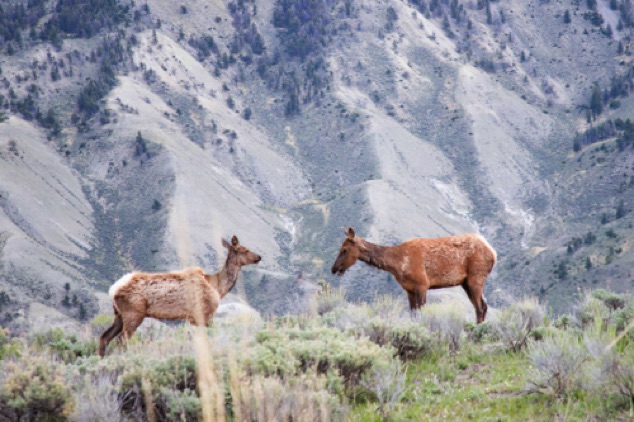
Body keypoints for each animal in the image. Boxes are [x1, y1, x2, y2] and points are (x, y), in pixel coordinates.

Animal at [97, 236, 260, 358]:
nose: (259, 257)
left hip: (118, 314)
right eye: (244, 249)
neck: (217, 287)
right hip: (133, 313)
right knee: (121, 340)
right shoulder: (204, 313)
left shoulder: (193, 319)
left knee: (105, 336)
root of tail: (113, 289)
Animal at [328, 227, 496, 324]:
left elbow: (421, 313)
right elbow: (413, 314)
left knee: (480, 307)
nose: (333, 268)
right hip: (465, 282)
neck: (398, 263)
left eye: (344, 249)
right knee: (483, 305)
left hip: (476, 277)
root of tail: (493, 252)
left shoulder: (422, 284)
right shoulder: (409, 289)